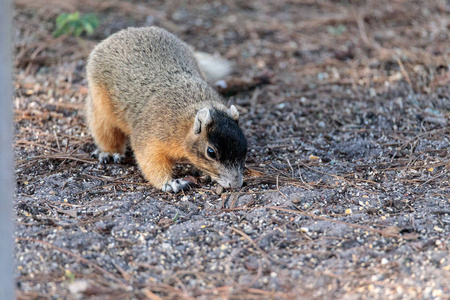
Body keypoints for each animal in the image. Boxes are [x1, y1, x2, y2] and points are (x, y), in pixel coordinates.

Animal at [86, 27, 248, 192]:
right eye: (211, 152)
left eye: (245, 147)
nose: (236, 184)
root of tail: (125, 32)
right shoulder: (151, 135)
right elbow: (151, 161)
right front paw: (171, 183)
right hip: (100, 109)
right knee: (106, 133)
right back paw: (110, 153)